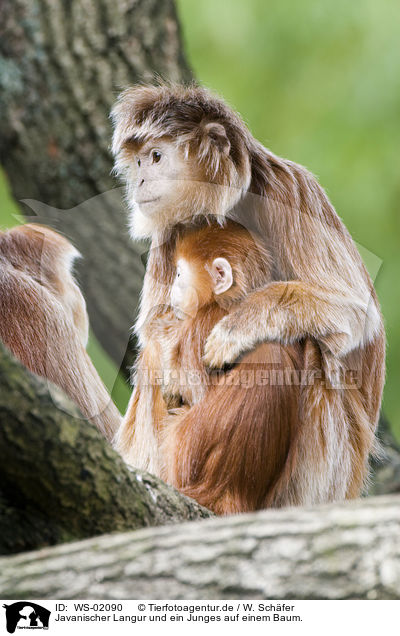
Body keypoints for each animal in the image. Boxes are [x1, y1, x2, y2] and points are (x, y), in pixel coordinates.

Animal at [110, 82, 384, 510]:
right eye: (138, 161)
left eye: (155, 157)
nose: (138, 180)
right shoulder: (169, 233)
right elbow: (156, 329)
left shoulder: (291, 188)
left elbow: (354, 309)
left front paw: (234, 329)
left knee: (311, 345)